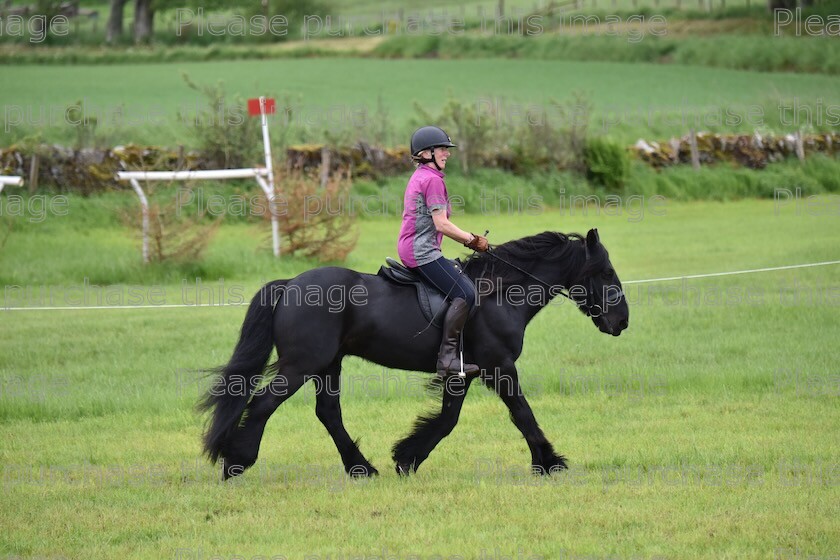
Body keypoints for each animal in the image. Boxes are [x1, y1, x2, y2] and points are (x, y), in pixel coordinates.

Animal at [200, 230, 628, 480]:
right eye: (606, 272)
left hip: (328, 365)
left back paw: (361, 468)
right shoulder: (499, 366)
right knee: (263, 404)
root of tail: (290, 284)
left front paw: (407, 457)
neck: (500, 293)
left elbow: (448, 419)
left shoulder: (465, 372)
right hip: (302, 365)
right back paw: (236, 462)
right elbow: (522, 413)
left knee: (328, 413)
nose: (622, 321)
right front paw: (549, 462)